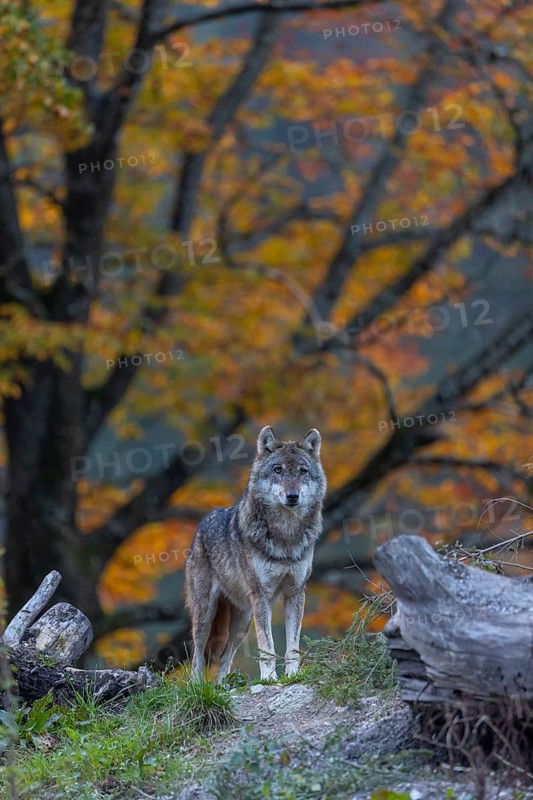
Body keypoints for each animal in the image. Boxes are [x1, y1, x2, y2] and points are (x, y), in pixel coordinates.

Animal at [185, 425, 326, 681]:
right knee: (197, 656)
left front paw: (292, 675)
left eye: (302, 471)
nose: (292, 496)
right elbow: (266, 645)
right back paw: (197, 686)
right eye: (278, 470)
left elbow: (292, 645)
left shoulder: (296, 592)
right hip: (205, 615)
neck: (285, 537)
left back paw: (221, 686)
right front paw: (269, 678)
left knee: (224, 657)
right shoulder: (261, 595)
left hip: (242, 622)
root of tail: (200, 526)